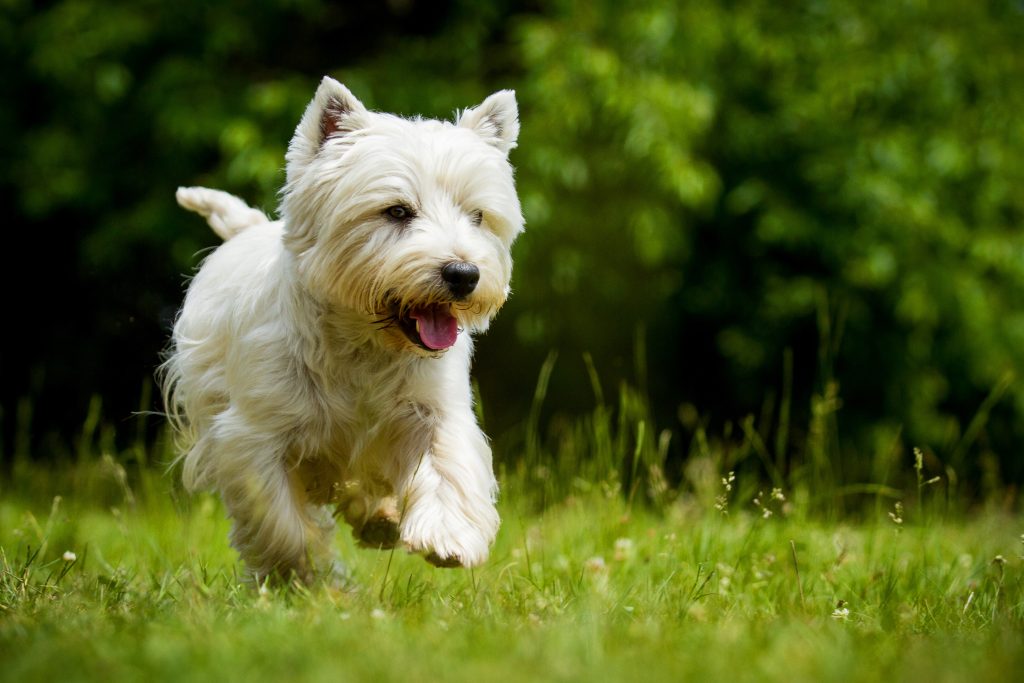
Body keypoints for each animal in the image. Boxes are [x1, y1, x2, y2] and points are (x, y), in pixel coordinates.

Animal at [165, 76, 528, 581]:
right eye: (397, 211)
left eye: (476, 216)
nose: (463, 274)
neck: (364, 344)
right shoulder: (252, 434)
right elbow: (279, 520)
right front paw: (308, 577)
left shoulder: (433, 409)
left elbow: (447, 463)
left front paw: (447, 538)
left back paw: (383, 520)